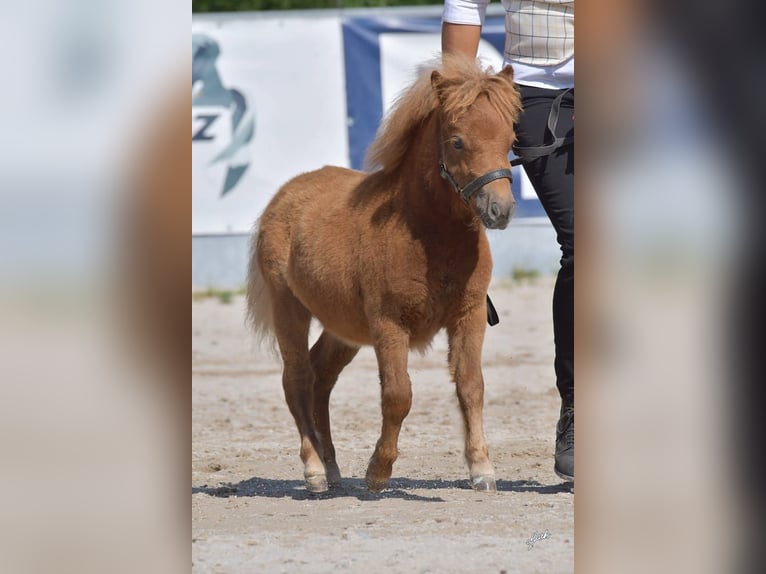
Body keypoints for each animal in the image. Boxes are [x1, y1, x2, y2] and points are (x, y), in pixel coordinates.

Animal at [249, 57, 524, 496]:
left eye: (510, 138)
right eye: (457, 142)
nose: (500, 209)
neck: (428, 235)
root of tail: (285, 194)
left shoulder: (468, 316)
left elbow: (471, 386)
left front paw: (482, 470)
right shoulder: (389, 323)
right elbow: (398, 394)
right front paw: (378, 471)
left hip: (343, 328)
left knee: (321, 378)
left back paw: (332, 466)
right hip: (288, 308)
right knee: (297, 379)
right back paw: (314, 470)